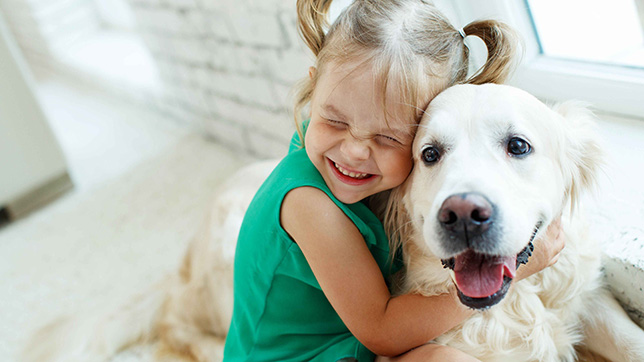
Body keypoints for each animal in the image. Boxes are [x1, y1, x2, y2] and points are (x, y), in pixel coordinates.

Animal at [23, 84, 644, 362]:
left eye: (518, 146)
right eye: (429, 155)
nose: (464, 214)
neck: (517, 305)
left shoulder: (583, 293)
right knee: (181, 324)